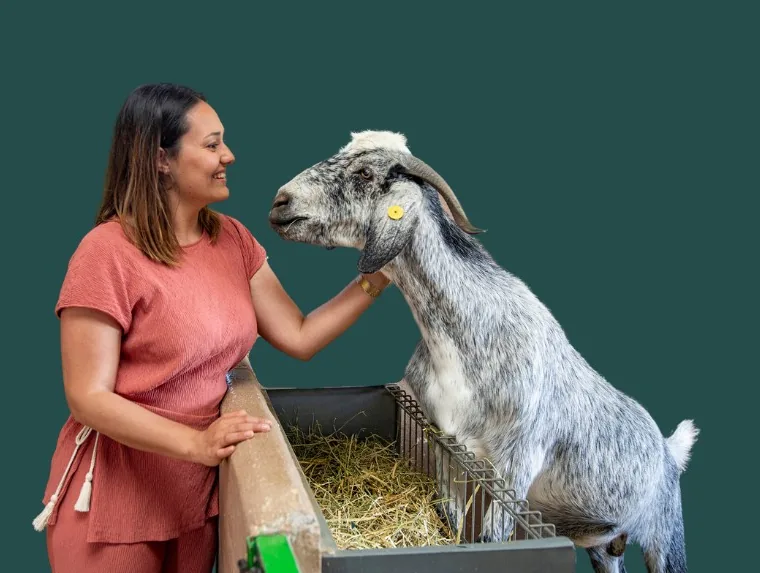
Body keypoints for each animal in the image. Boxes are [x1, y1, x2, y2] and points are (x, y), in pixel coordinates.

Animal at [267, 130, 698, 573]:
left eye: (365, 172)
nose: (281, 202)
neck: (463, 342)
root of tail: (670, 451)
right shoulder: (445, 444)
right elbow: (453, 519)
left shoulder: (517, 464)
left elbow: (492, 538)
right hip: (605, 544)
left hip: (665, 535)